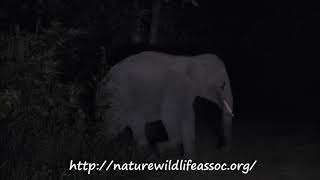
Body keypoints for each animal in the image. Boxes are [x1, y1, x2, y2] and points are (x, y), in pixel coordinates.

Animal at [96, 51, 234, 159]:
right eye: (222, 85)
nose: (221, 148)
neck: (194, 59)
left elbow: (188, 116)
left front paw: (189, 159)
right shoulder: (175, 87)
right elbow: (169, 115)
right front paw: (159, 147)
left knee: (134, 123)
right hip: (115, 100)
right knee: (113, 126)